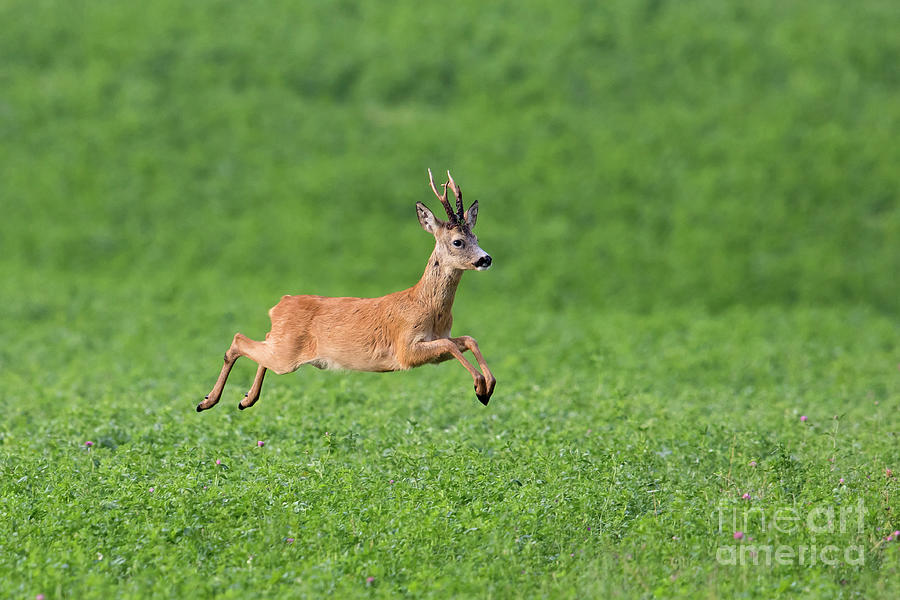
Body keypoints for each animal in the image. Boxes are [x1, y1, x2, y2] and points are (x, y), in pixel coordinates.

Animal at [195, 169, 500, 412]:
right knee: (238, 340)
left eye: (476, 236)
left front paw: (488, 386)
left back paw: (246, 399)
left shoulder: (437, 342)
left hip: (283, 346)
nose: (485, 259)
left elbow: (468, 339)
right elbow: (452, 344)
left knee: (261, 345)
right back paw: (207, 401)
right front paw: (479, 387)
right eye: (458, 241)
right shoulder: (405, 349)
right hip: (286, 356)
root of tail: (280, 304)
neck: (427, 306)